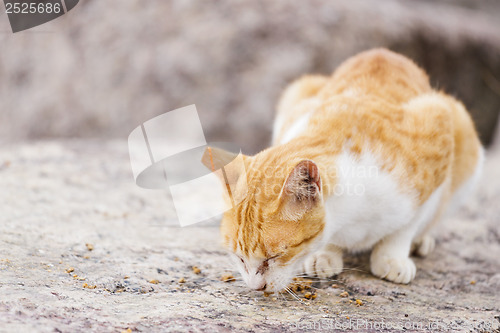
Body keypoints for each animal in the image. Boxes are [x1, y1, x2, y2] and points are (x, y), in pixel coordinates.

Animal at [202, 48, 484, 292]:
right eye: (239, 258)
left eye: (274, 256)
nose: (255, 287)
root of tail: (384, 52)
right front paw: (325, 254)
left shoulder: (437, 130)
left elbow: (406, 226)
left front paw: (392, 257)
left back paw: (421, 240)